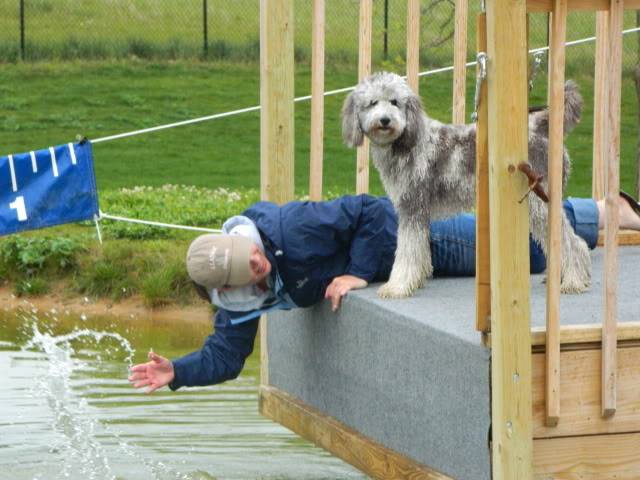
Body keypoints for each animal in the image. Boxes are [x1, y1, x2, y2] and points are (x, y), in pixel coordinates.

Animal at [342, 71, 592, 298]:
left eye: (394, 102)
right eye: (373, 103)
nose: (385, 120)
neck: (406, 141)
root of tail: (539, 125)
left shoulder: (412, 207)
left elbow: (407, 252)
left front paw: (397, 287)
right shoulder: (417, 213)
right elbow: (419, 250)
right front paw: (418, 279)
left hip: (538, 202)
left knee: (572, 242)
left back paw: (573, 280)